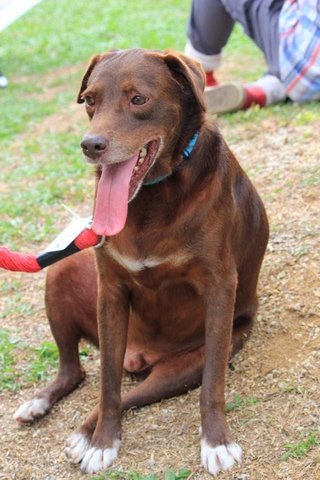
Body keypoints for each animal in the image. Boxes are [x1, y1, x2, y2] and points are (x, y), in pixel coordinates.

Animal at [13, 49, 268, 476]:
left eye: (138, 100)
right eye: (90, 101)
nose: (90, 145)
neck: (153, 194)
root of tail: (140, 356)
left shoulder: (219, 288)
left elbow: (213, 382)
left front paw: (216, 441)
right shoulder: (111, 293)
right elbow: (108, 384)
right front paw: (103, 443)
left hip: (183, 365)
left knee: (141, 388)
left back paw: (81, 434)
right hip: (64, 272)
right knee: (80, 372)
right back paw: (50, 409)